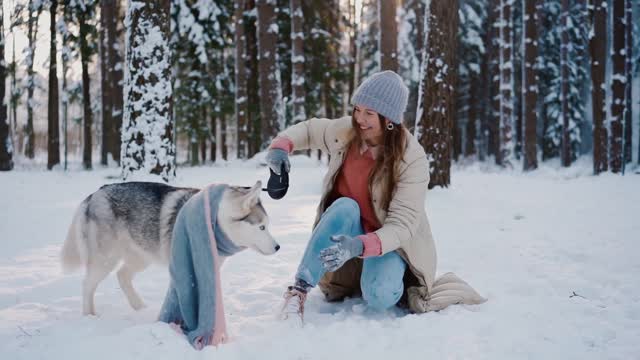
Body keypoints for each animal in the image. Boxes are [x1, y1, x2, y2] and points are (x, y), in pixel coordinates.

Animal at [61, 181, 278, 314]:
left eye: (267, 226)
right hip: (105, 260)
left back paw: (140, 307)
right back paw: (90, 315)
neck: (213, 221)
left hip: (140, 258)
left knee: (122, 276)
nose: (278, 247)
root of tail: (94, 194)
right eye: (261, 227)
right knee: (87, 285)